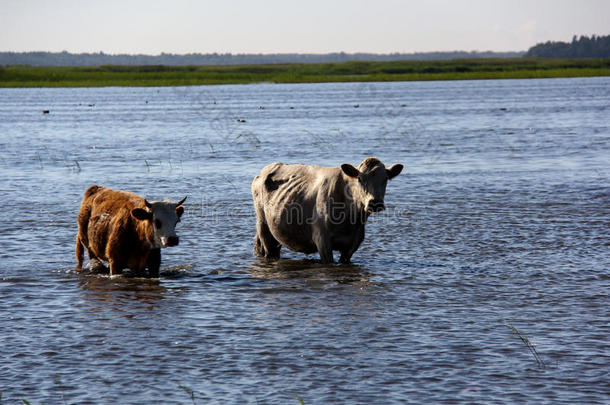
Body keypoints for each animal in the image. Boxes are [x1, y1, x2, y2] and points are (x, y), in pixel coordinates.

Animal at [249, 156, 402, 264]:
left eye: (385, 179)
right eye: (359, 179)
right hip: (263, 225)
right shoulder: (322, 240)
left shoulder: (353, 244)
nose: (374, 202)